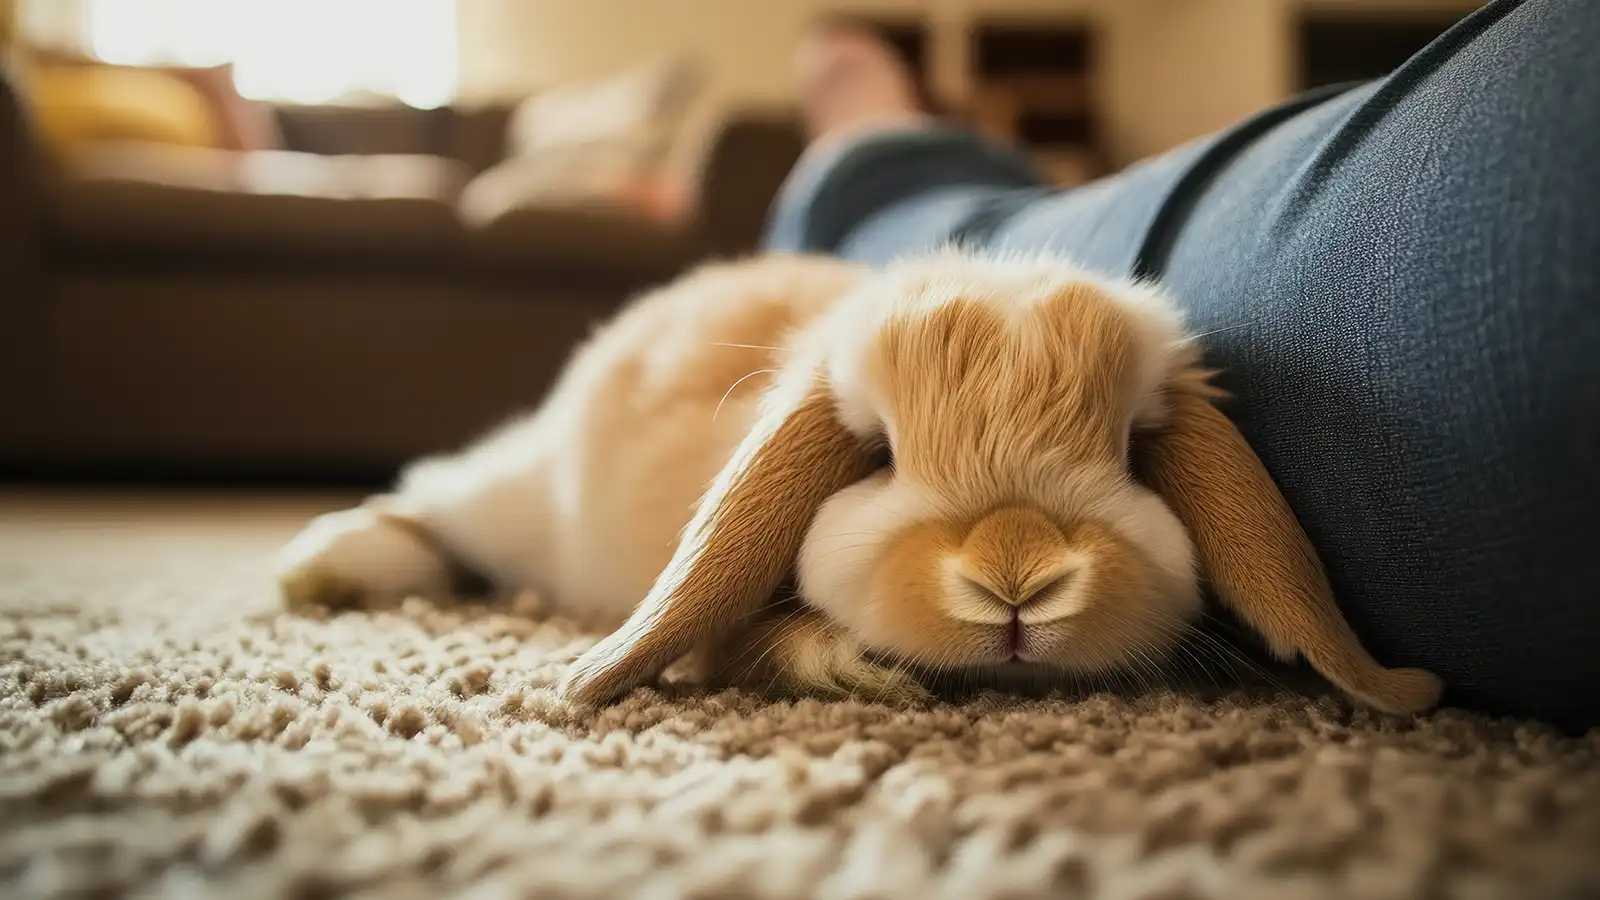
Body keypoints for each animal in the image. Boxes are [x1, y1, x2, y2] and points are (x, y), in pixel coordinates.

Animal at [276, 251, 1443, 715]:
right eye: (878, 455)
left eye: (1129, 456)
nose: (1016, 580)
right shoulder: (722, 633)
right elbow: (751, 641)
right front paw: (857, 672)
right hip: (527, 501)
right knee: (438, 498)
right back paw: (322, 569)